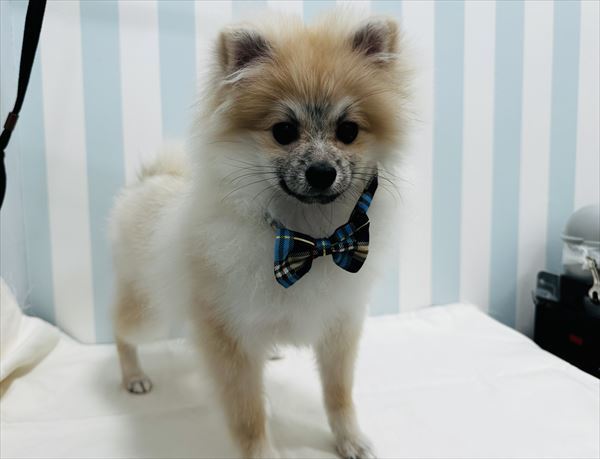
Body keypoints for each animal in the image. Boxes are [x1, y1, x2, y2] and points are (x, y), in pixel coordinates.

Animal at [110, 10, 408, 459]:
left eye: (348, 131)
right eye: (283, 131)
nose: (322, 171)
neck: (310, 238)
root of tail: (151, 179)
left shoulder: (340, 323)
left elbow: (339, 393)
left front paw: (350, 439)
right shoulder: (228, 336)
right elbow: (248, 415)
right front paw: (263, 451)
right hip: (149, 309)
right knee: (121, 331)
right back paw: (133, 376)